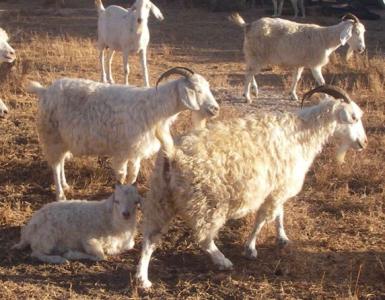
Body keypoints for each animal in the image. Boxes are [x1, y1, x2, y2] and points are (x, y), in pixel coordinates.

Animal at [12, 184, 142, 264]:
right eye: (117, 201)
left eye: (136, 202)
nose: (126, 214)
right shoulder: (89, 239)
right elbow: (101, 255)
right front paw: (71, 254)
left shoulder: (127, 243)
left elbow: (127, 246)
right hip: (47, 237)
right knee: (36, 253)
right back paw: (58, 259)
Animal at [27, 67, 219, 200]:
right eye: (197, 90)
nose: (215, 109)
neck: (153, 107)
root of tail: (44, 91)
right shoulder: (121, 152)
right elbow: (121, 175)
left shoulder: (135, 152)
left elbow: (133, 175)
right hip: (51, 136)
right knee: (55, 166)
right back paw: (60, 195)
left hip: (63, 140)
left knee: (60, 164)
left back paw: (66, 185)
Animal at [135, 85, 366, 288]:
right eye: (353, 117)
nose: (363, 143)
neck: (300, 134)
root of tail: (173, 154)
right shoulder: (277, 189)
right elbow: (262, 218)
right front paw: (250, 248)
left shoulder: (277, 187)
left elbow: (279, 213)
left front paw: (282, 238)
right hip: (208, 203)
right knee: (203, 238)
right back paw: (223, 261)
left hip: (161, 198)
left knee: (150, 237)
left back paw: (142, 279)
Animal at [230, 13, 364, 102]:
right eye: (356, 32)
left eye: (362, 32)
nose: (362, 49)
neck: (325, 38)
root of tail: (248, 25)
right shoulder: (314, 65)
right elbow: (322, 82)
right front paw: (327, 98)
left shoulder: (300, 63)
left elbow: (296, 78)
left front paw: (293, 95)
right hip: (256, 54)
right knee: (249, 73)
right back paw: (247, 97)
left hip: (254, 55)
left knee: (250, 71)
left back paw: (254, 90)